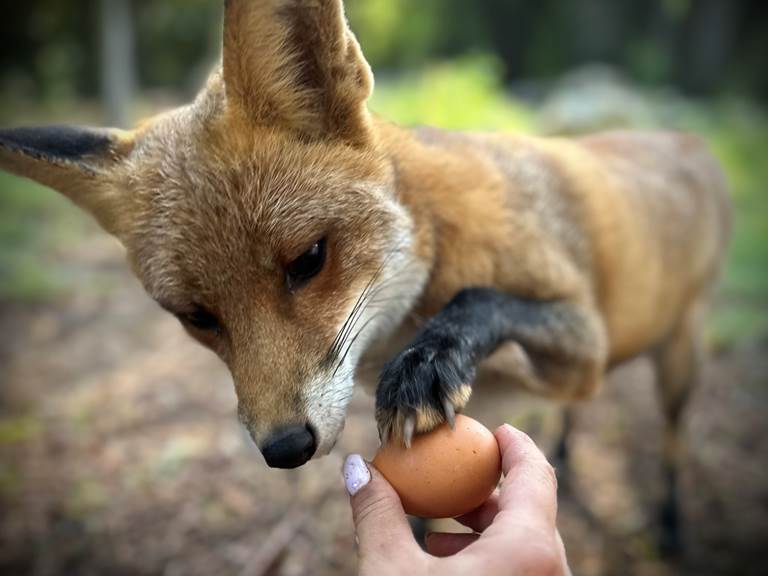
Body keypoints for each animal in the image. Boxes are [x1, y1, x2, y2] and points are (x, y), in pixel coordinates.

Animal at [1, 0, 732, 552]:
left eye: (308, 260)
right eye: (197, 318)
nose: (285, 448)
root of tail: (680, 137)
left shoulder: (583, 341)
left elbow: (483, 299)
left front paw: (430, 363)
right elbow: (423, 515)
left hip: (675, 360)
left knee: (670, 442)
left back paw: (670, 526)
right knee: (579, 415)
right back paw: (571, 466)